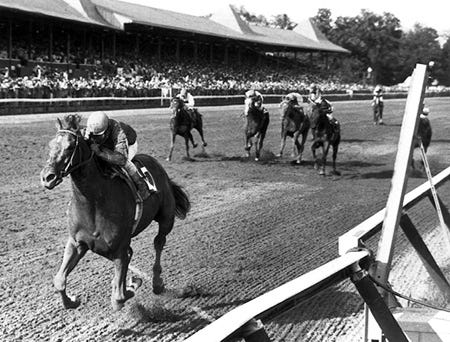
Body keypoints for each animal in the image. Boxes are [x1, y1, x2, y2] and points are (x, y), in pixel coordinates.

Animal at [39, 114, 192, 310]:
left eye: (70, 146)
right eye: (51, 144)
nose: (47, 177)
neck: (93, 204)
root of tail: (159, 167)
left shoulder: (120, 251)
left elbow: (118, 298)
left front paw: (133, 283)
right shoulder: (76, 243)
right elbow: (59, 281)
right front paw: (72, 301)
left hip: (166, 219)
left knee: (159, 242)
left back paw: (157, 283)